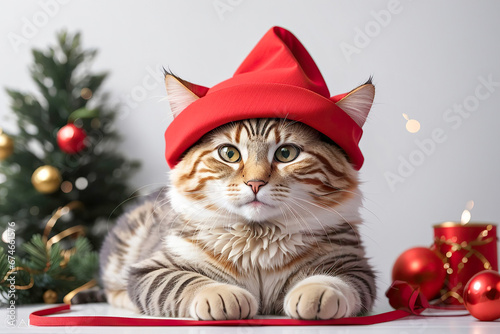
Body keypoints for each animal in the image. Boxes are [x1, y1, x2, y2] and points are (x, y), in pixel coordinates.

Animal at [94, 73, 376, 320]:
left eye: (286, 153)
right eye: (229, 154)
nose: (255, 183)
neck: (259, 238)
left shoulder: (354, 264)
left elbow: (334, 280)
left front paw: (318, 292)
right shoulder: (153, 267)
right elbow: (185, 282)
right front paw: (220, 295)